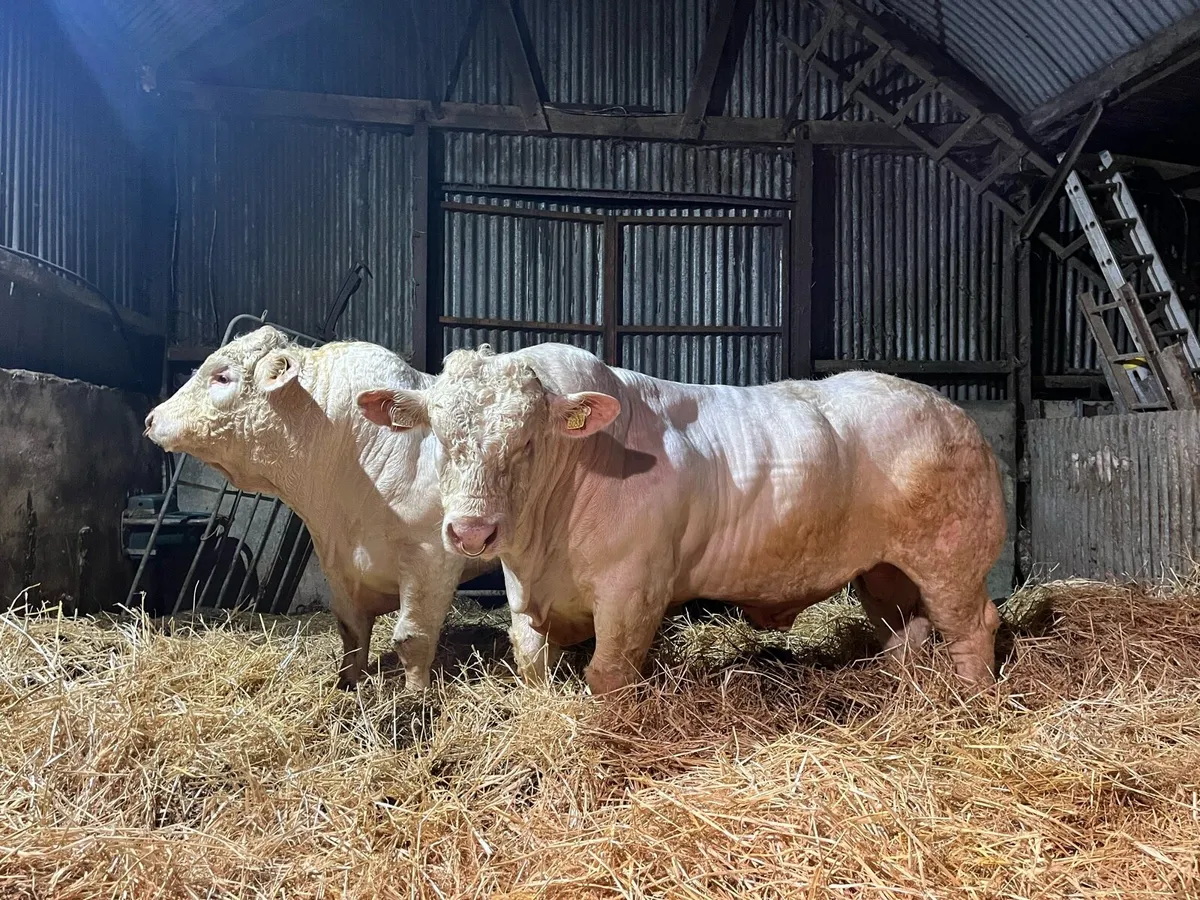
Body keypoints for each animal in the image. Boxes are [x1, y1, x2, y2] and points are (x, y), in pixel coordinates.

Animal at [144, 325, 494, 690]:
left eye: (222, 376)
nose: (152, 418)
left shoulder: (431, 558)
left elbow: (412, 637)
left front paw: (415, 694)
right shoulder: (339, 566)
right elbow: (351, 633)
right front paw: (346, 685)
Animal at [355, 342, 1006, 695]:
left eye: (528, 442)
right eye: (439, 435)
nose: (472, 531)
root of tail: (947, 409)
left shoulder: (633, 591)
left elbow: (607, 674)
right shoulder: (524, 593)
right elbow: (532, 661)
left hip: (952, 558)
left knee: (972, 627)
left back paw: (972, 704)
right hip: (885, 571)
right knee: (906, 634)